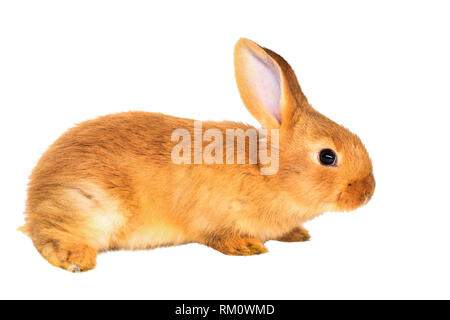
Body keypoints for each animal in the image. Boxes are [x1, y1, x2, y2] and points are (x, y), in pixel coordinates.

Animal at [19, 38, 374, 272]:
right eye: (327, 157)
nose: (367, 191)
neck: (269, 172)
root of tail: (33, 199)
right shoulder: (215, 216)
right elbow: (219, 236)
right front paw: (247, 247)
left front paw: (298, 234)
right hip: (90, 206)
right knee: (47, 235)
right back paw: (76, 260)